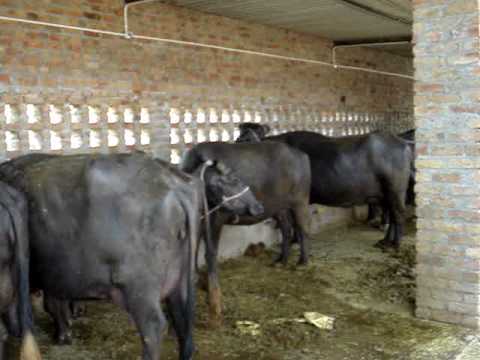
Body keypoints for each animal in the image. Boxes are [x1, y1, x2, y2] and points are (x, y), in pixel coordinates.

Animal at [0, 153, 262, 360]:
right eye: (231, 179)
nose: (258, 207)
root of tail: (174, 184)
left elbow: (51, 305)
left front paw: (63, 334)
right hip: (179, 283)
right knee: (182, 323)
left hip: (139, 287)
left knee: (154, 328)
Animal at [180, 141, 312, 324]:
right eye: (223, 182)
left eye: (235, 179)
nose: (256, 207)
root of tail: (302, 155)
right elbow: (193, 248)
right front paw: (196, 280)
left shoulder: (216, 220)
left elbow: (210, 252)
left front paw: (214, 300)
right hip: (279, 207)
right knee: (286, 228)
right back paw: (281, 260)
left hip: (300, 201)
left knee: (302, 228)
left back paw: (302, 263)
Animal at [236, 124, 412, 250]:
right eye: (240, 137)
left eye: (255, 135)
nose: (241, 141)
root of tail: (400, 142)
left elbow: (295, 223)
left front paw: (295, 241)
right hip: (386, 194)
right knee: (392, 215)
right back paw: (385, 241)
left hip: (395, 191)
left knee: (398, 215)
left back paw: (395, 245)